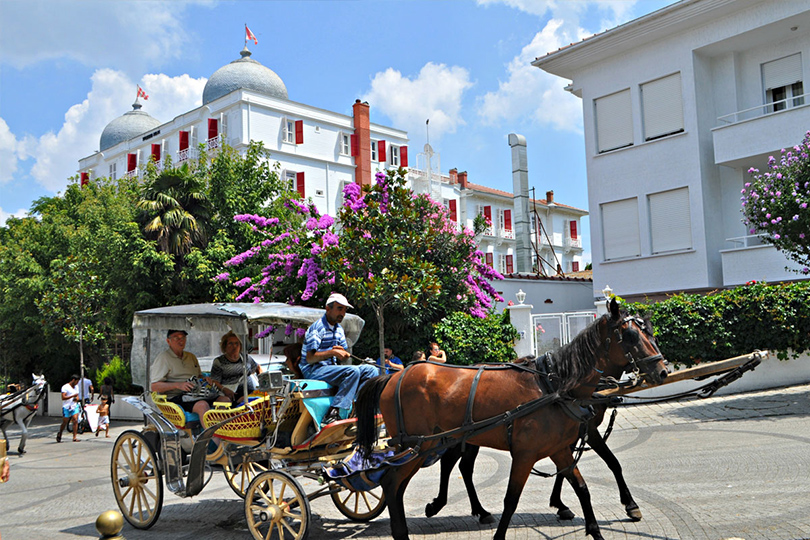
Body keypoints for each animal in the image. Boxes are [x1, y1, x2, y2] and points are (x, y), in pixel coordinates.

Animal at [356, 300, 664, 540]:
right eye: (631, 336)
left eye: (650, 333)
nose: (661, 370)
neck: (554, 386)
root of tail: (394, 376)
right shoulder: (527, 454)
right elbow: (512, 499)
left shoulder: (560, 448)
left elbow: (582, 488)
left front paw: (587, 522)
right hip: (418, 446)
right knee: (394, 482)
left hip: (435, 443)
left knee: (427, 476)